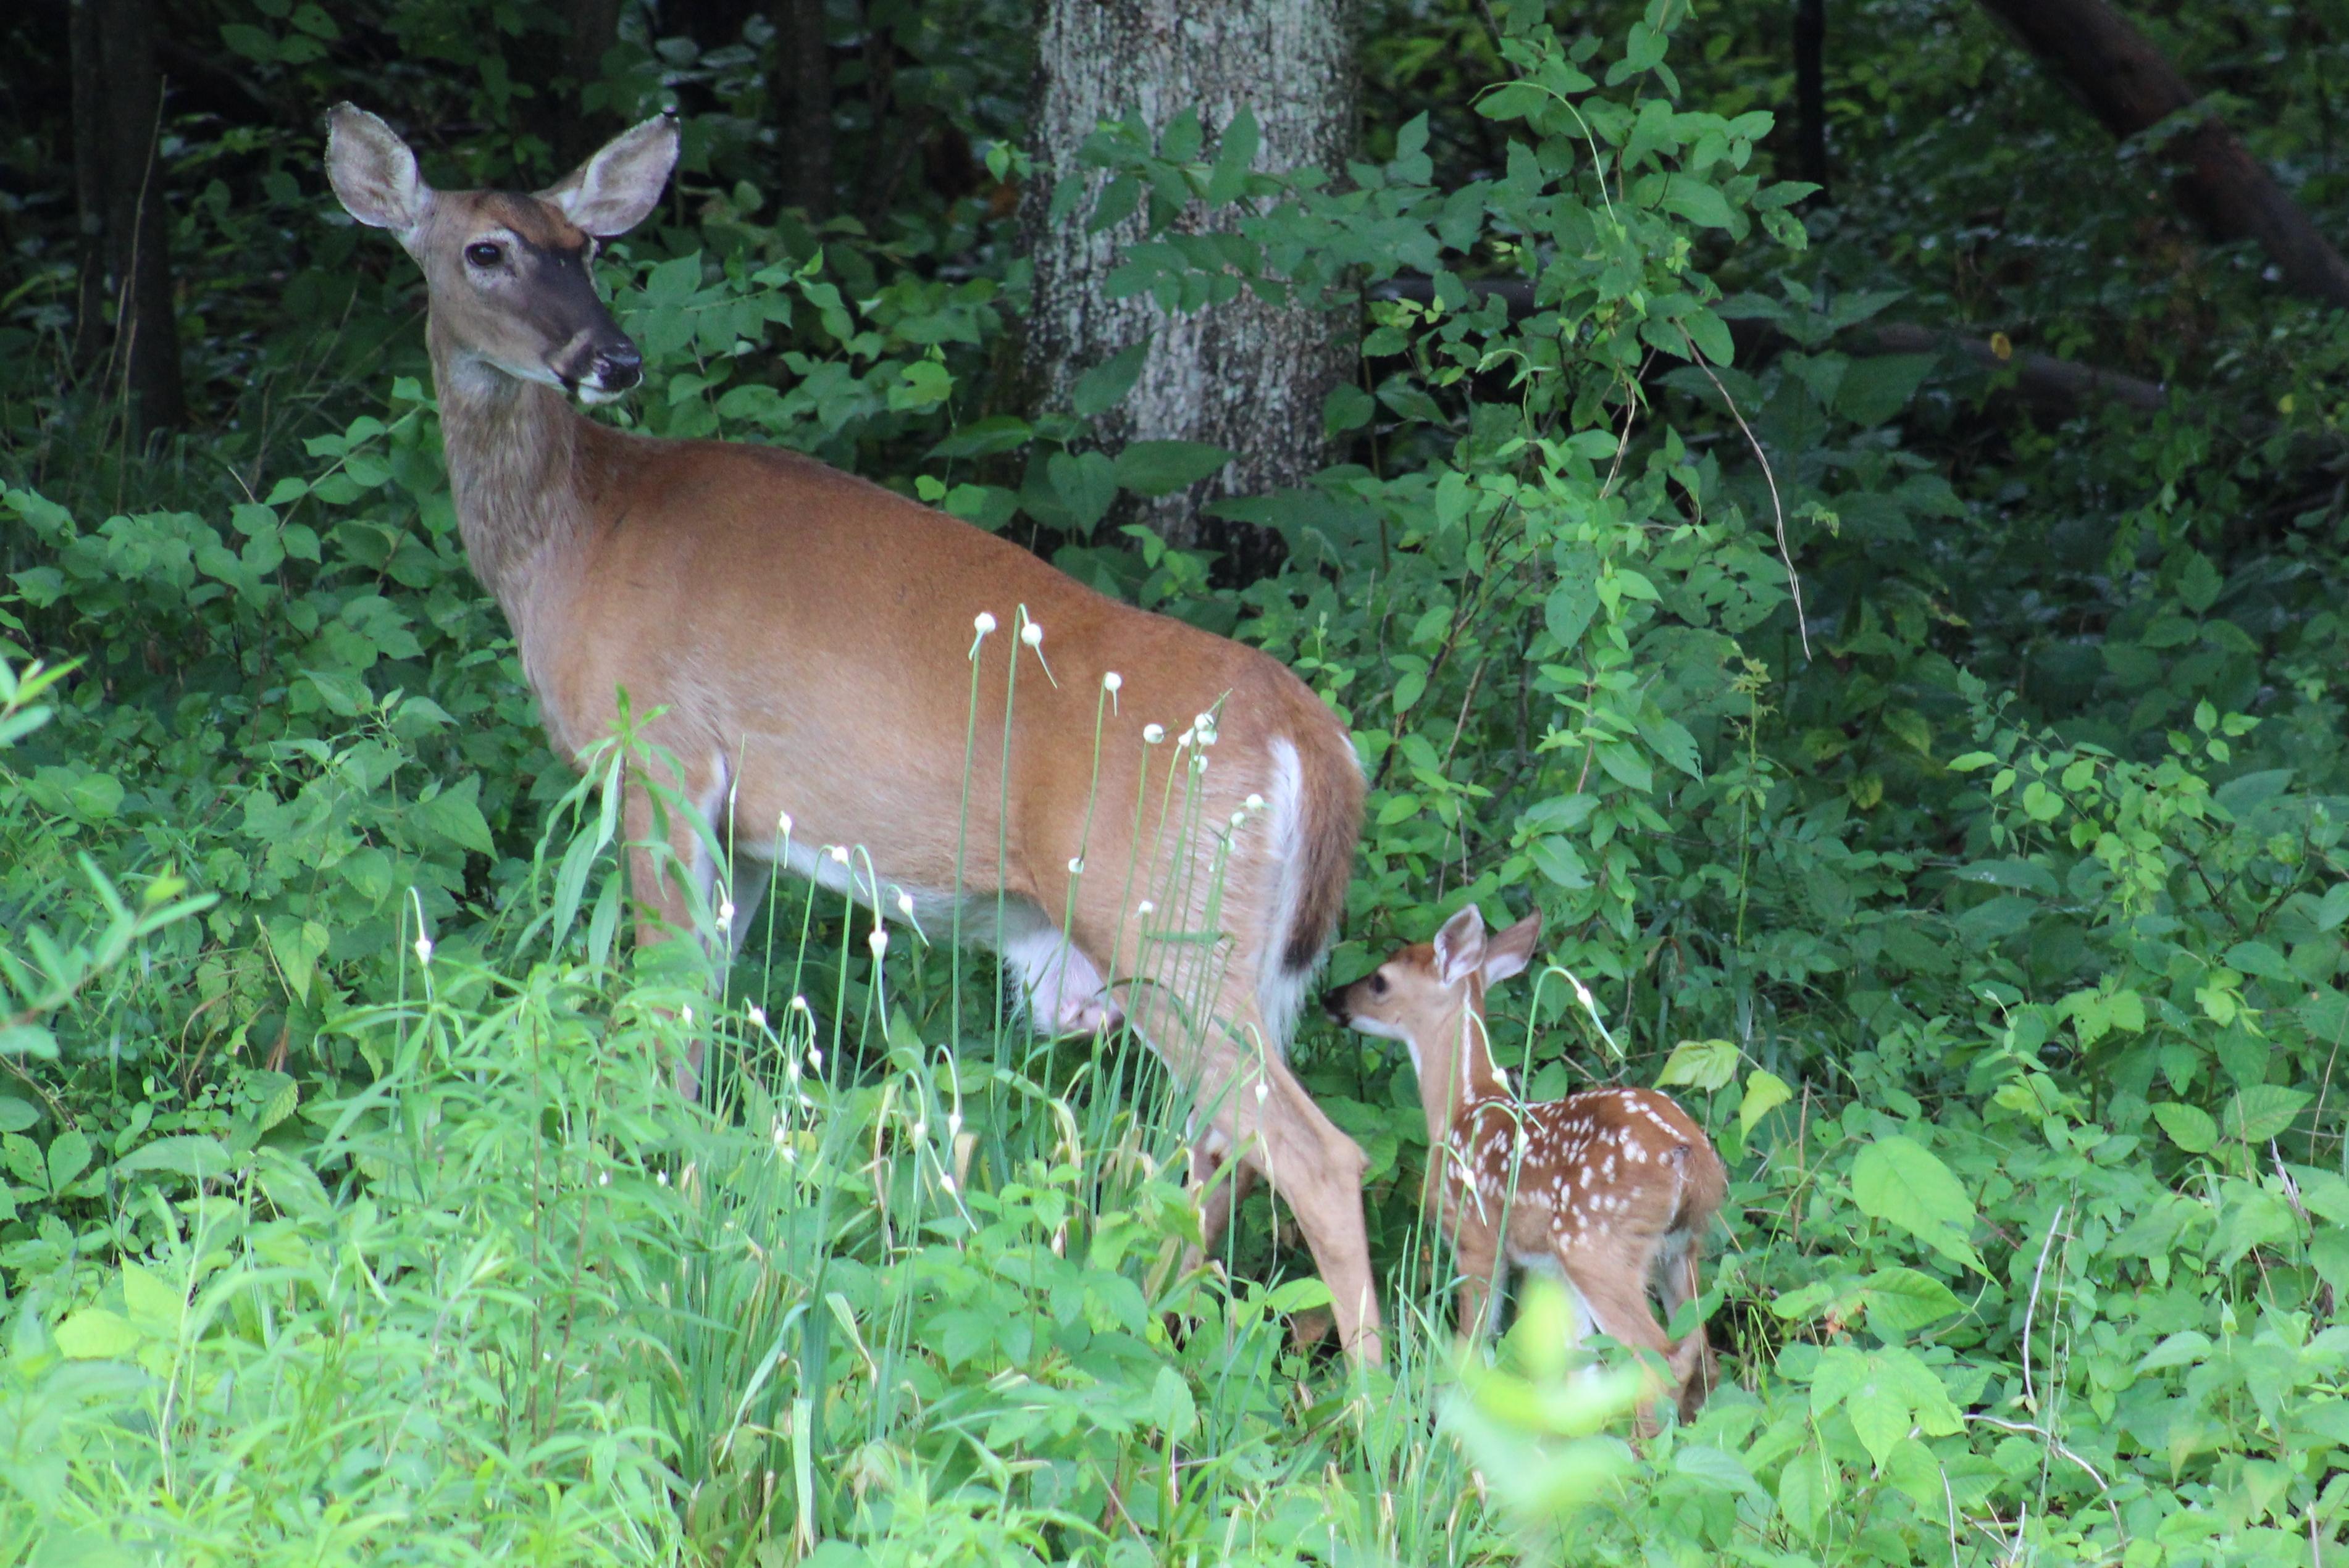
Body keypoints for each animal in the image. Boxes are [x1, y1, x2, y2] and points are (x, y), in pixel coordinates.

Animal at [329, 107, 1381, 1361]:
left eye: (585, 246)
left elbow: (662, 1018)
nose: (612, 359)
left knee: (1314, 1153)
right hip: (1246, 953)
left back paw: (1376, 1407)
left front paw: (650, 1240)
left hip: (1162, 911)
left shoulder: (659, 755)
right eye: (488, 250)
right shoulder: (742, 828)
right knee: (1218, 1144)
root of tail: (1313, 739)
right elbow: (705, 1013)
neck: (572, 536)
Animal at [1325, 901, 1728, 1427]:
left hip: (1596, 1244)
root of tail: (1690, 1157)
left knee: (1659, 1360)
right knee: (1702, 1355)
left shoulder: (1477, 1238)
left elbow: (1470, 1350)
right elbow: (1572, 1371)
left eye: (1379, 981)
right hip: (1679, 1247)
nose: (1330, 998)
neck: (1463, 1106)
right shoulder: (1549, 1269)